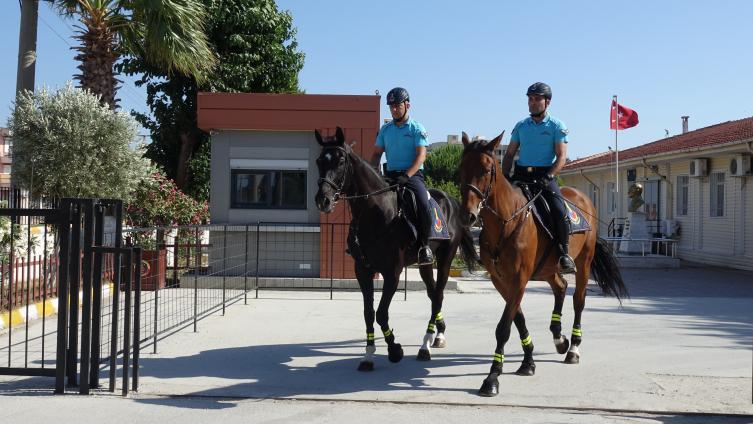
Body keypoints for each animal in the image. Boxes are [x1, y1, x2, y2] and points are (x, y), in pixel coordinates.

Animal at [312, 126, 476, 372]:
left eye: (340, 161)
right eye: (319, 161)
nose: (323, 200)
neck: (377, 213)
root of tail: (452, 202)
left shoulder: (392, 273)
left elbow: (381, 313)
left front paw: (394, 350)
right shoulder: (363, 271)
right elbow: (368, 313)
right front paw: (368, 355)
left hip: (445, 258)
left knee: (438, 295)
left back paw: (425, 346)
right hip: (425, 264)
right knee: (432, 294)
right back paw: (437, 334)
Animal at [458, 132, 628, 398]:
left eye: (486, 170)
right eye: (461, 169)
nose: (468, 215)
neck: (506, 222)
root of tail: (583, 198)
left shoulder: (519, 278)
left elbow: (503, 327)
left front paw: (493, 377)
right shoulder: (500, 280)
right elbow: (518, 319)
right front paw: (528, 361)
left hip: (584, 262)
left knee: (578, 300)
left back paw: (573, 348)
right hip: (547, 269)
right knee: (560, 287)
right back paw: (559, 338)